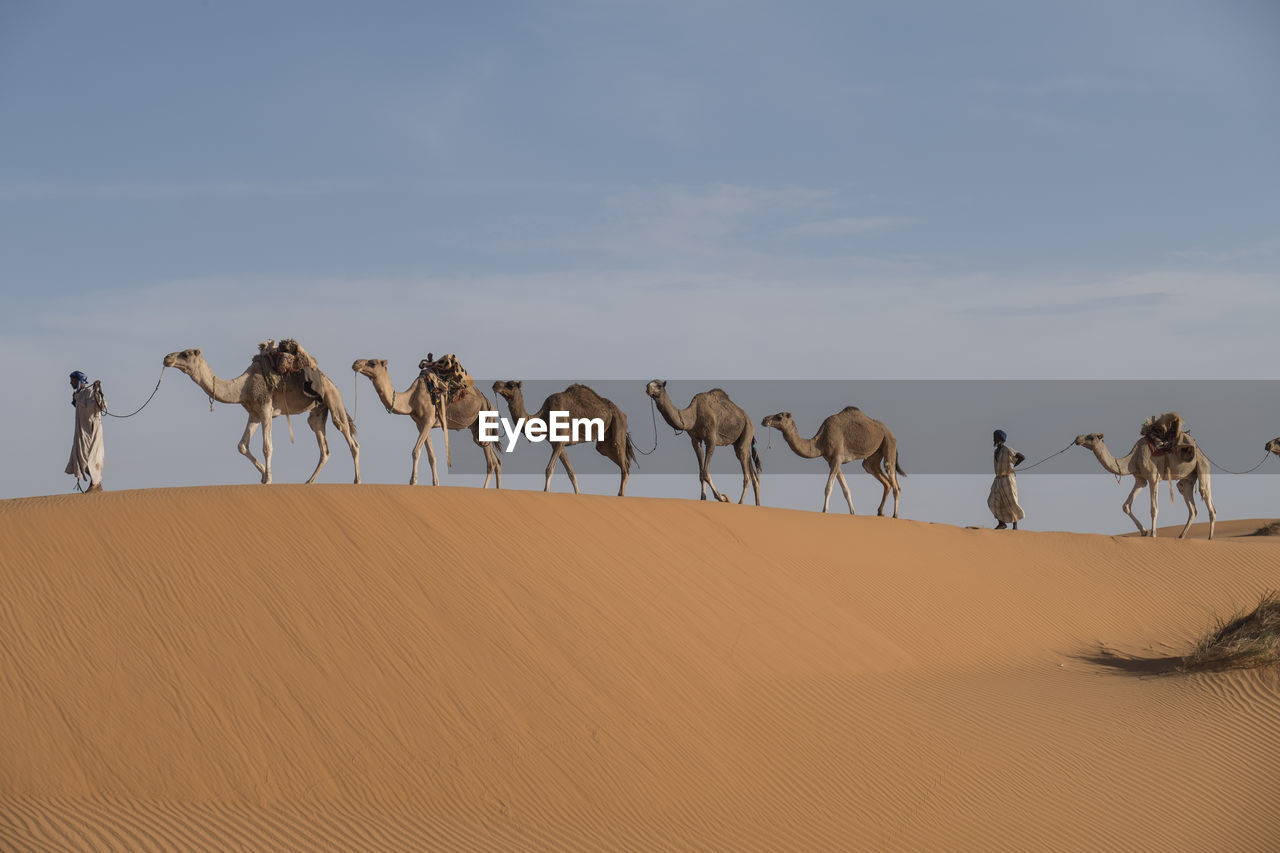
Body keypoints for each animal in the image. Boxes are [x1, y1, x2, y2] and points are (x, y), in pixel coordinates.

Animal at [162, 343, 360, 479]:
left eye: (186, 354)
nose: (166, 358)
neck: (243, 387)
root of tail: (331, 382)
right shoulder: (254, 414)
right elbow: (242, 445)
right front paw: (265, 476)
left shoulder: (265, 409)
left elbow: (267, 447)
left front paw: (269, 479)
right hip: (318, 410)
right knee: (323, 446)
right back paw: (308, 482)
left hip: (333, 399)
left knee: (347, 434)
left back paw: (357, 481)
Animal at [355, 356, 509, 484]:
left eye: (372, 363)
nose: (356, 363)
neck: (411, 399)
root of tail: (488, 402)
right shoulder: (420, 424)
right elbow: (432, 457)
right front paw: (435, 483)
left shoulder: (428, 420)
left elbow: (416, 451)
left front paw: (413, 481)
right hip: (477, 429)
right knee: (497, 461)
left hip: (484, 422)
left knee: (491, 462)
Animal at [494, 379, 640, 494]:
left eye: (510, 385)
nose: (495, 384)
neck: (544, 416)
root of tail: (621, 413)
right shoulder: (557, 443)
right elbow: (571, 472)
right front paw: (578, 494)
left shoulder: (560, 439)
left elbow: (549, 469)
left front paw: (545, 491)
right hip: (604, 443)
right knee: (622, 461)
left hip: (618, 425)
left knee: (624, 465)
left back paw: (621, 495)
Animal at [752, 407, 906, 514]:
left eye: (779, 417)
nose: (764, 420)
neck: (820, 440)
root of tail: (891, 433)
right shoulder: (831, 460)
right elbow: (846, 489)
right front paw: (853, 512)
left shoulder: (837, 457)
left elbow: (828, 487)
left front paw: (824, 510)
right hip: (873, 456)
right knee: (878, 475)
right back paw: (880, 512)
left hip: (889, 443)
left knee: (894, 481)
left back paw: (895, 515)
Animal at [1075, 432, 1213, 537]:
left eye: (1091, 437)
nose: (1077, 439)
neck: (1134, 458)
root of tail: (1201, 452)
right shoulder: (1140, 479)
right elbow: (1126, 506)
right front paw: (1144, 531)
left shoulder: (1153, 477)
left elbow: (1154, 509)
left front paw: (1153, 534)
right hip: (1188, 478)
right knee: (1190, 502)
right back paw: (1181, 536)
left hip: (1202, 465)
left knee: (1205, 494)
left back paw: (1210, 537)